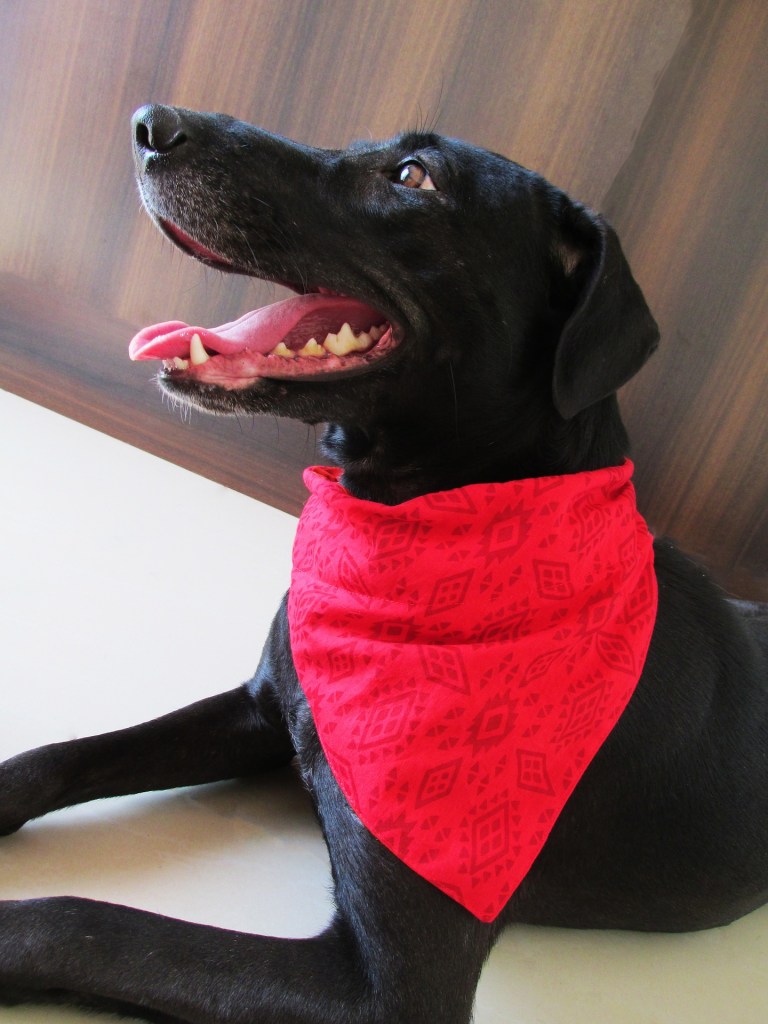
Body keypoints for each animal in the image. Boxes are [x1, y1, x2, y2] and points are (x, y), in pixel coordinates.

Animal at [0, 105, 765, 1024]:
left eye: (413, 177)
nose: (152, 121)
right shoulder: (268, 705)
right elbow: (63, 756)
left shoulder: (383, 987)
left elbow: (84, 926)